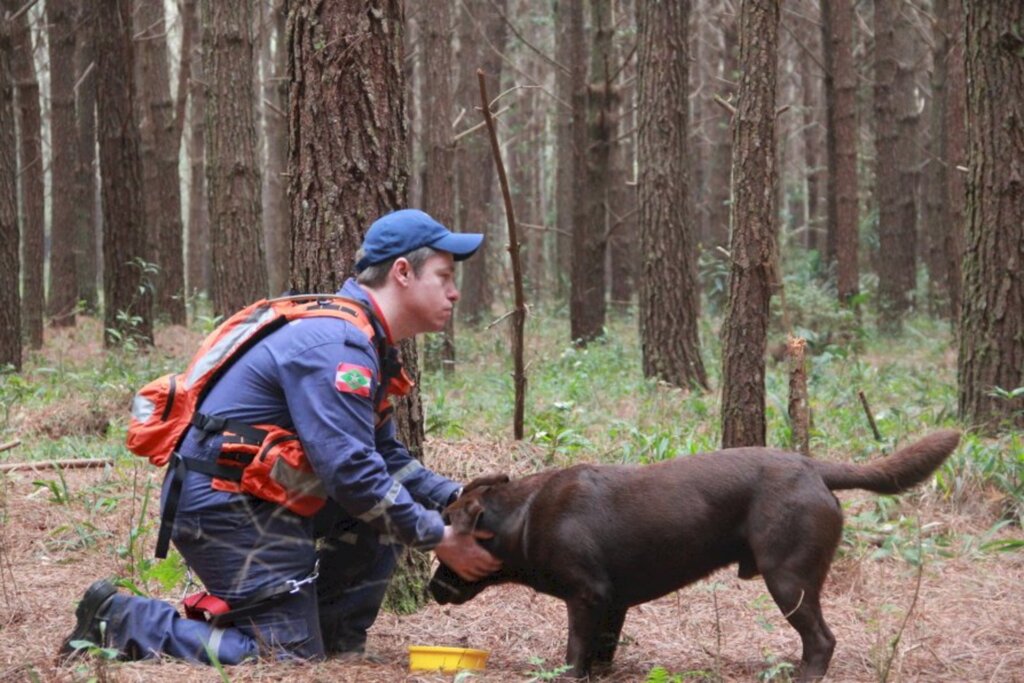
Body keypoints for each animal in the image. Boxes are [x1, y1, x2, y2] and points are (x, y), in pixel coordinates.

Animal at [428, 430, 954, 679]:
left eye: (447, 540)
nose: (432, 589)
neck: (524, 516)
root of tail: (813, 468)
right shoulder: (613, 602)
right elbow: (602, 649)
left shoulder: (586, 595)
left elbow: (575, 651)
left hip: (788, 576)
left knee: (823, 640)